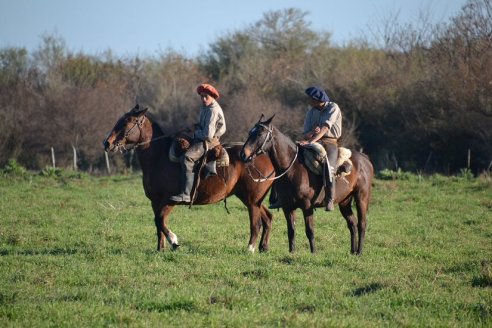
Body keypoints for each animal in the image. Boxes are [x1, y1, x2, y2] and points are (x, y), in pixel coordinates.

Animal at [102, 104, 274, 252]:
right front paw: (160, 249)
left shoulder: (169, 200)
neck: (158, 157)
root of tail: (265, 157)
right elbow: (158, 224)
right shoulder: (155, 202)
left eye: (127, 122)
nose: (107, 143)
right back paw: (263, 247)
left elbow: (160, 220)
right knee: (268, 218)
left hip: (251, 201)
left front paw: (174, 241)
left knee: (256, 224)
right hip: (251, 199)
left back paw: (250, 249)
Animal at [238, 116, 372, 256]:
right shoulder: (287, 207)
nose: (243, 154)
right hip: (345, 202)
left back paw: (359, 252)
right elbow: (291, 230)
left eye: (259, 134)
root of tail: (365, 159)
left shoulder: (307, 206)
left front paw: (313, 253)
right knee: (352, 223)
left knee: (362, 224)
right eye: (250, 132)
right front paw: (292, 252)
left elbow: (310, 230)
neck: (293, 169)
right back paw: (353, 251)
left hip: (361, 198)